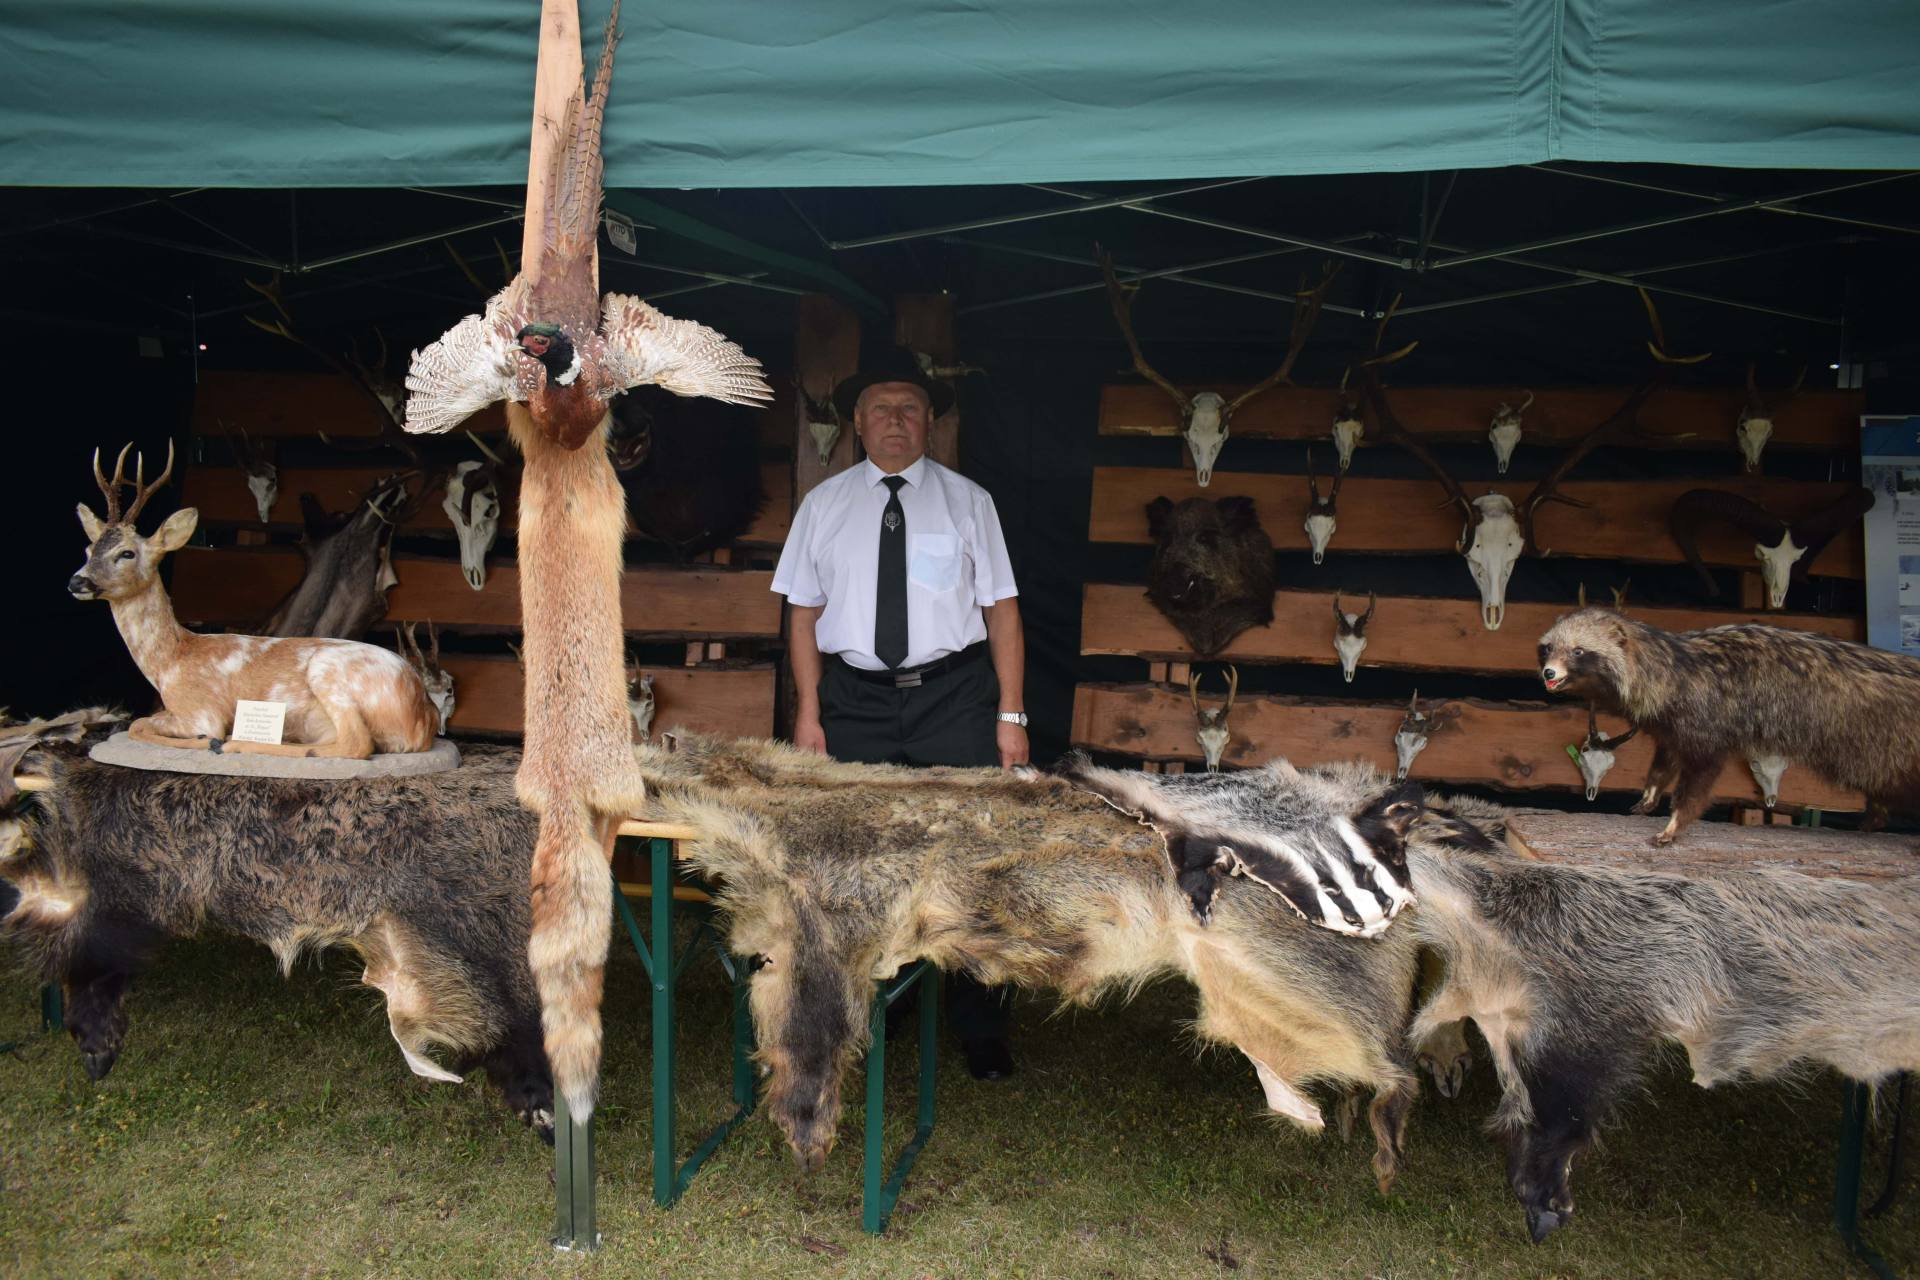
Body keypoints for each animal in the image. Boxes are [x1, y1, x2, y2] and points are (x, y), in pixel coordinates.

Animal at [70, 445, 439, 759]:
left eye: (126, 553)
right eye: (88, 549)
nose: (77, 581)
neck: (170, 662)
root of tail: (424, 718)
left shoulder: (201, 711)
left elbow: (139, 725)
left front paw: (207, 740)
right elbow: (138, 723)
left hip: (329, 674)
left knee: (356, 745)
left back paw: (232, 744)